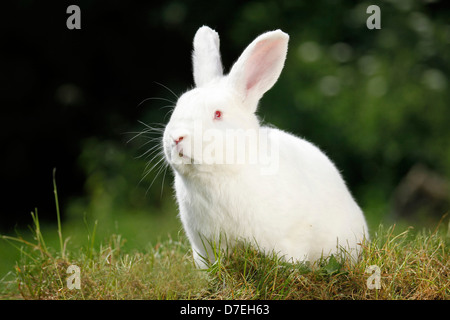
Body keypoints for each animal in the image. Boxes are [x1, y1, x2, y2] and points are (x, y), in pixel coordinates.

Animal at [163, 26, 368, 268]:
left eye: (218, 114)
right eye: (178, 106)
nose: (176, 137)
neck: (217, 175)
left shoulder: (287, 240)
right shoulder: (204, 248)